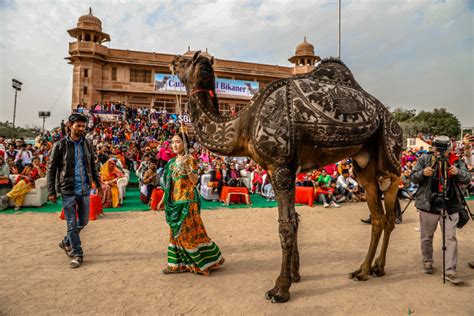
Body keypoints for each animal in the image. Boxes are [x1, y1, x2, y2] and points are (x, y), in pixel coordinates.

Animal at [170, 51, 404, 304]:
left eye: (184, 61)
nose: (172, 61)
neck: (244, 123)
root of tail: (391, 119)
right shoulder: (280, 171)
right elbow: (295, 219)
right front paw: (295, 274)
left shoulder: (280, 166)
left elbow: (286, 226)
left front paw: (280, 289)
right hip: (364, 165)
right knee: (378, 216)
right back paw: (364, 270)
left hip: (391, 152)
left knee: (389, 207)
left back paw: (376, 268)